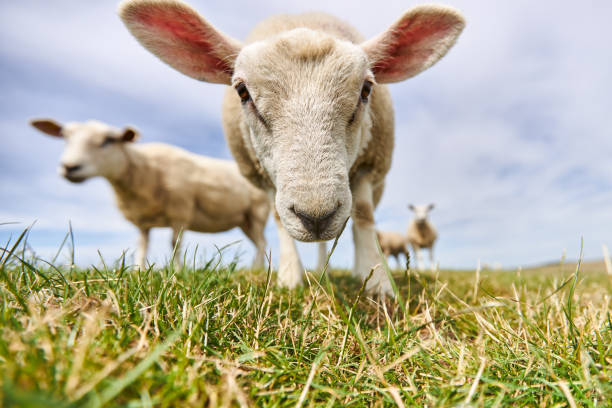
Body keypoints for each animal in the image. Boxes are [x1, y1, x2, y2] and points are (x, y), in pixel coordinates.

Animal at [28, 118, 268, 270]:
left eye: (108, 140)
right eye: (65, 138)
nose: (69, 167)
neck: (145, 169)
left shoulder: (181, 210)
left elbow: (175, 244)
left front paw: (177, 271)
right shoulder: (143, 221)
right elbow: (142, 246)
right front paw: (139, 271)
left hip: (256, 214)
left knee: (262, 243)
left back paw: (255, 271)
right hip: (243, 221)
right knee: (259, 243)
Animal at [119, 0, 464, 294]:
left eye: (366, 89)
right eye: (242, 92)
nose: (316, 217)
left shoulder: (369, 166)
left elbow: (364, 218)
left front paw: (378, 284)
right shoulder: (262, 176)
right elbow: (277, 217)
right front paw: (289, 278)